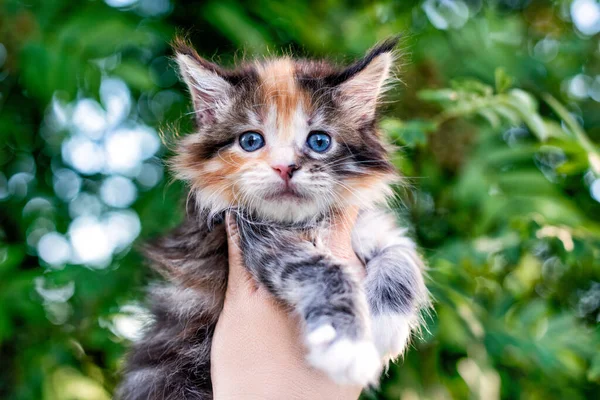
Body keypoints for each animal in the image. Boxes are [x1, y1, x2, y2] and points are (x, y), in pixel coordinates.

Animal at [117, 38, 426, 400]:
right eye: (251, 141)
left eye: (319, 141)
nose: (284, 167)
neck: (301, 221)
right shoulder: (254, 237)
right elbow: (325, 270)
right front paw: (345, 346)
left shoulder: (364, 224)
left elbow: (402, 256)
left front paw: (383, 323)